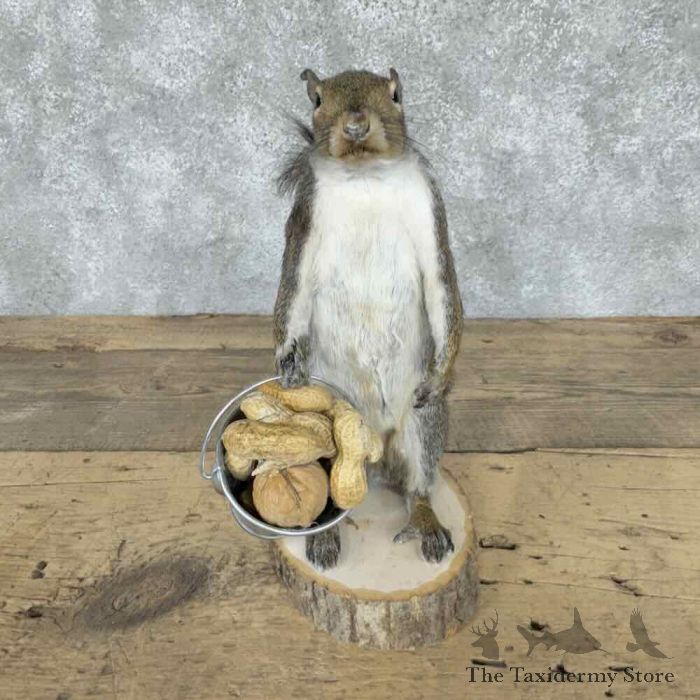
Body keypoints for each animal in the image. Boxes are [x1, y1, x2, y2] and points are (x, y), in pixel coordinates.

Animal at [273, 68, 463, 569]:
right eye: (317, 100)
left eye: (396, 94)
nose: (356, 125)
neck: (364, 179)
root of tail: (374, 449)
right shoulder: (305, 219)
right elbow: (291, 293)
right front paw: (286, 362)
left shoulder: (429, 210)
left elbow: (443, 289)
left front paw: (443, 371)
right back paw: (322, 537)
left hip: (420, 425)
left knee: (418, 483)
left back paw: (427, 525)